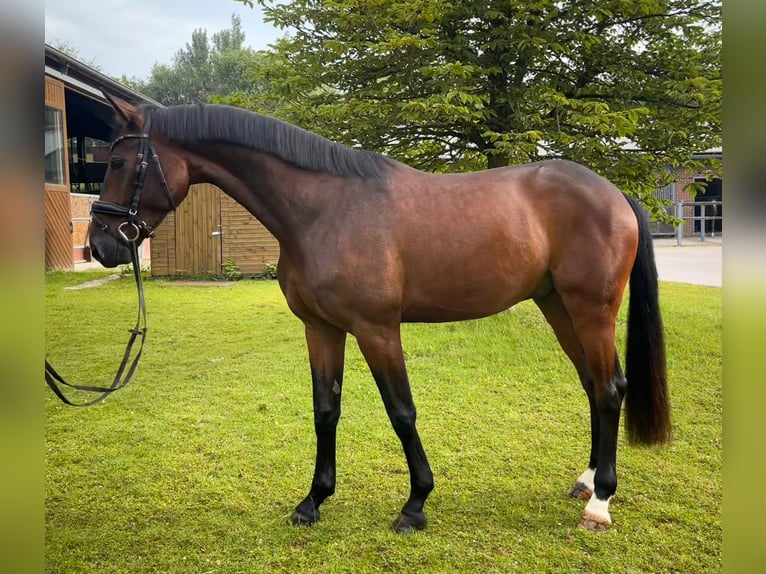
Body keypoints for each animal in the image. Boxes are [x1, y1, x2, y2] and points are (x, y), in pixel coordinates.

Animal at [89, 94, 670, 533]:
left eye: (117, 164)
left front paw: (415, 505)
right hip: (557, 307)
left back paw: (600, 504)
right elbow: (325, 410)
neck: (324, 209)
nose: (100, 244)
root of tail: (614, 193)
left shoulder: (377, 330)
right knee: (593, 385)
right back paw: (587, 482)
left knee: (610, 388)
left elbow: (401, 412)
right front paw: (313, 501)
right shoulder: (321, 329)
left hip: (591, 310)